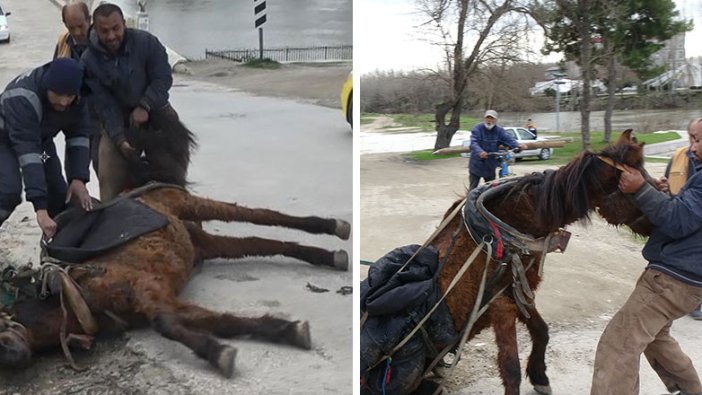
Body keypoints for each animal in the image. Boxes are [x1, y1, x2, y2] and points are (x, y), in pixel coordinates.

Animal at [0, 187, 352, 378]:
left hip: (190, 204)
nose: (12, 356)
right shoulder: (160, 299)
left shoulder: (146, 289)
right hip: (204, 244)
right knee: (262, 242)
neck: (74, 294)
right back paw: (329, 256)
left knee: (260, 214)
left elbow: (165, 325)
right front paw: (282, 331)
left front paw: (219, 353)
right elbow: (218, 322)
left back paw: (333, 226)